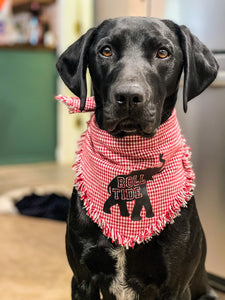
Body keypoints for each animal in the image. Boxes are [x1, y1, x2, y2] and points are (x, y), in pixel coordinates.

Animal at [57, 17, 219, 300]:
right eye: (106, 51)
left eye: (163, 53)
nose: (129, 97)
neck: (131, 155)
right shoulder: (82, 280)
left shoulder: (175, 287)